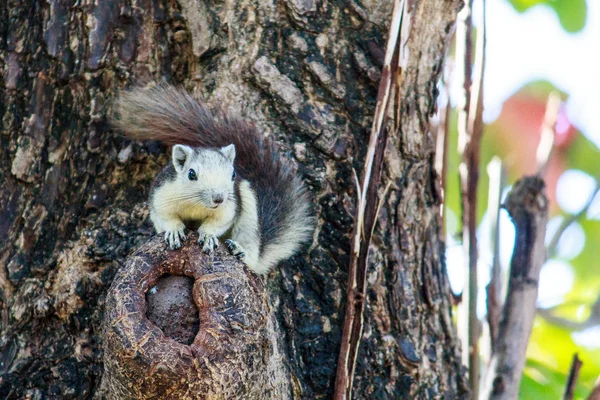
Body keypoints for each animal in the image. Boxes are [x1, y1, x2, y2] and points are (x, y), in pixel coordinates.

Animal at [112, 83, 314, 274]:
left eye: (232, 174)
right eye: (191, 174)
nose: (218, 198)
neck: (196, 205)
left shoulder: (228, 208)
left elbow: (219, 222)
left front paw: (208, 235)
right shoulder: (161, 195)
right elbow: (164, 216)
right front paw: (174, 230)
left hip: (249, 213)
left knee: (250, 251)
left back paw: (240, 250)